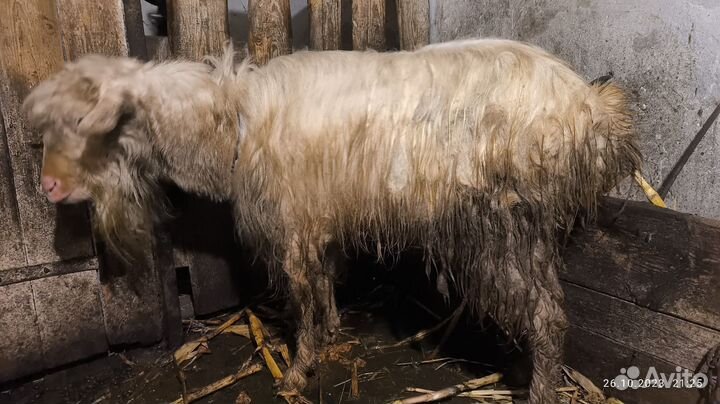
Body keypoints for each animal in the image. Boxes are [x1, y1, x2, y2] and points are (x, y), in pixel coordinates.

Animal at [24, 39, 640, 403]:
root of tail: (593, 109)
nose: (47, 186)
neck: (231, 122)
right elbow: (322, 285)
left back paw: (540, 389)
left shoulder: (292, 224)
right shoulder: (318, 221)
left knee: (548, 315)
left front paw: (298, 370)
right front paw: (332, 333)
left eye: (86, 120)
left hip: (508, 222)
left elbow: (302, 294)